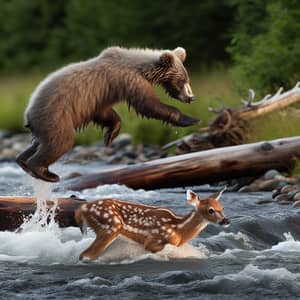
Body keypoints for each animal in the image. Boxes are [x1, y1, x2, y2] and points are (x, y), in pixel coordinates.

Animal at [16, 47, 199, 183]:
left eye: (187, 79)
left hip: (45, 123)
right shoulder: (129, 81)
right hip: (55, 115)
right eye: (182, 81)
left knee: (41, 143)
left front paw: (110, 135)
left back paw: (22, 160)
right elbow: (148, 105)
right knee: (61, 142)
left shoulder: (100, 97)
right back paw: (45, 173)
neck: (141, 67)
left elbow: (105, 114)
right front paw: (190, 119)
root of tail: (27, 113)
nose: (191, 97)